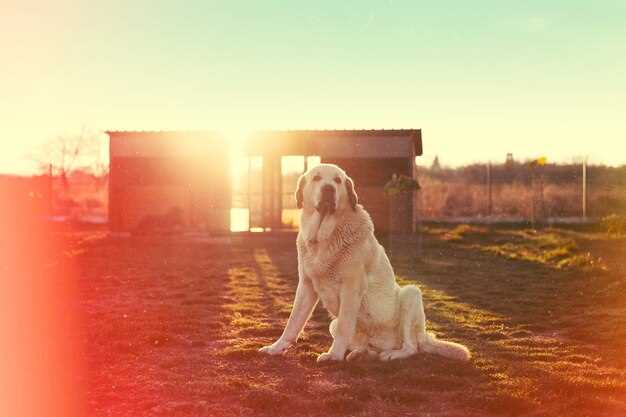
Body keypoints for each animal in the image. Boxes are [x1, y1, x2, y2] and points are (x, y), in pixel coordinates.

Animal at [255, 163, 468, 360]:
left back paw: (392, 354)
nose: (328, 189)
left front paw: (334, 356)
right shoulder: (306, 285)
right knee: (367, 346)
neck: (324, 237)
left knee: (411, 346)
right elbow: (293, 321)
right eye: (317, 178)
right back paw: (360, 353)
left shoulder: (351, 287)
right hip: (337, 325)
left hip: (411, 294)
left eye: (338, 181)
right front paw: (276, 347)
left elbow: (344, 325)